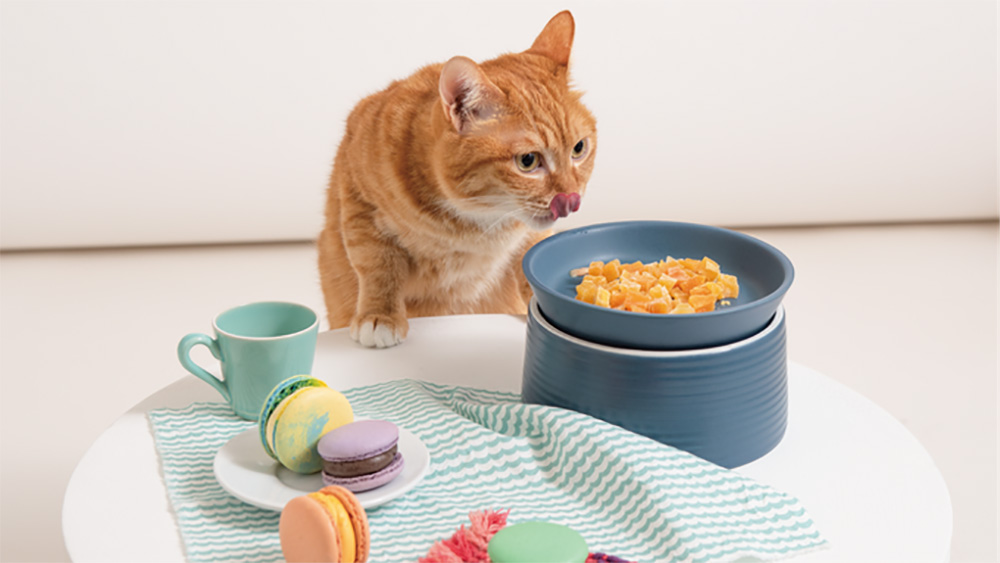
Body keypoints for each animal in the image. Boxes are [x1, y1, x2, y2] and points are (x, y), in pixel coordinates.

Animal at [318, 11, 592, 348]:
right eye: (527, 161)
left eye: (579, 149)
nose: (571, 199)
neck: (474, 225)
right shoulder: (358, 198)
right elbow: (378, 264)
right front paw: (379, 315)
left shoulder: (527, 236)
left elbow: (529, 261)